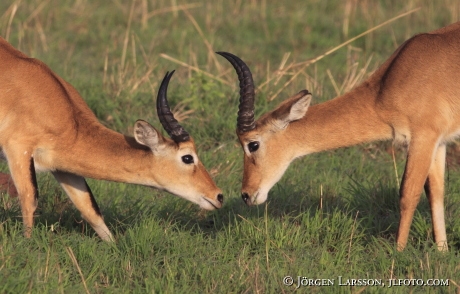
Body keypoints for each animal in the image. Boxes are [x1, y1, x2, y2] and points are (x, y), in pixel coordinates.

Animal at [0, 37, 223, 241]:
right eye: (188, 157)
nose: (218, 196)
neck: (71, 120)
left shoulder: (63, 167)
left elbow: (91, 210)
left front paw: (114, 246)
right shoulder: (18, 151)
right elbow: (29, 199)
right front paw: (27, 244)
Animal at [217, 21, 460, 250]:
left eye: (253, 144)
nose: (246, 194)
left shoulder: (422, 139)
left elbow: (408, 193)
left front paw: (397, 252)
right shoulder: (439, 143)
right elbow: (436, 193)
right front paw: (442, 251)